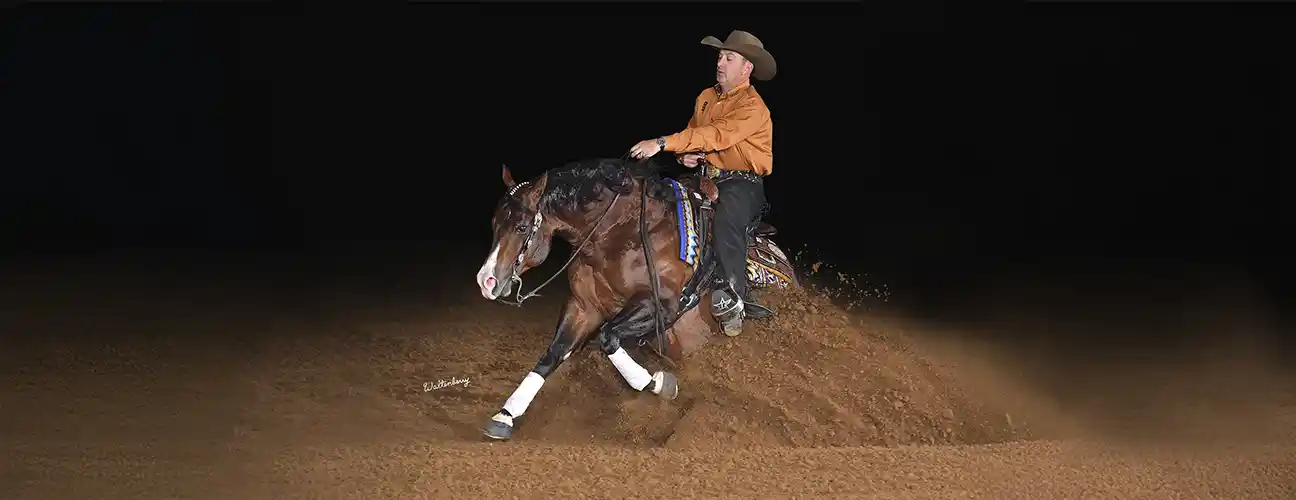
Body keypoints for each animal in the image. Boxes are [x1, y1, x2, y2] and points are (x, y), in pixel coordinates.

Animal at [474, 158, 798, 440]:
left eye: (521, 226)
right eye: (494, 223)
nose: (486, 281)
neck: (620, 235)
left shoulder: (660, 306)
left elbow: (608, 338)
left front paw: (658, 383)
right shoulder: (584, 308)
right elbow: (553, 354)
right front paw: (506, 415)